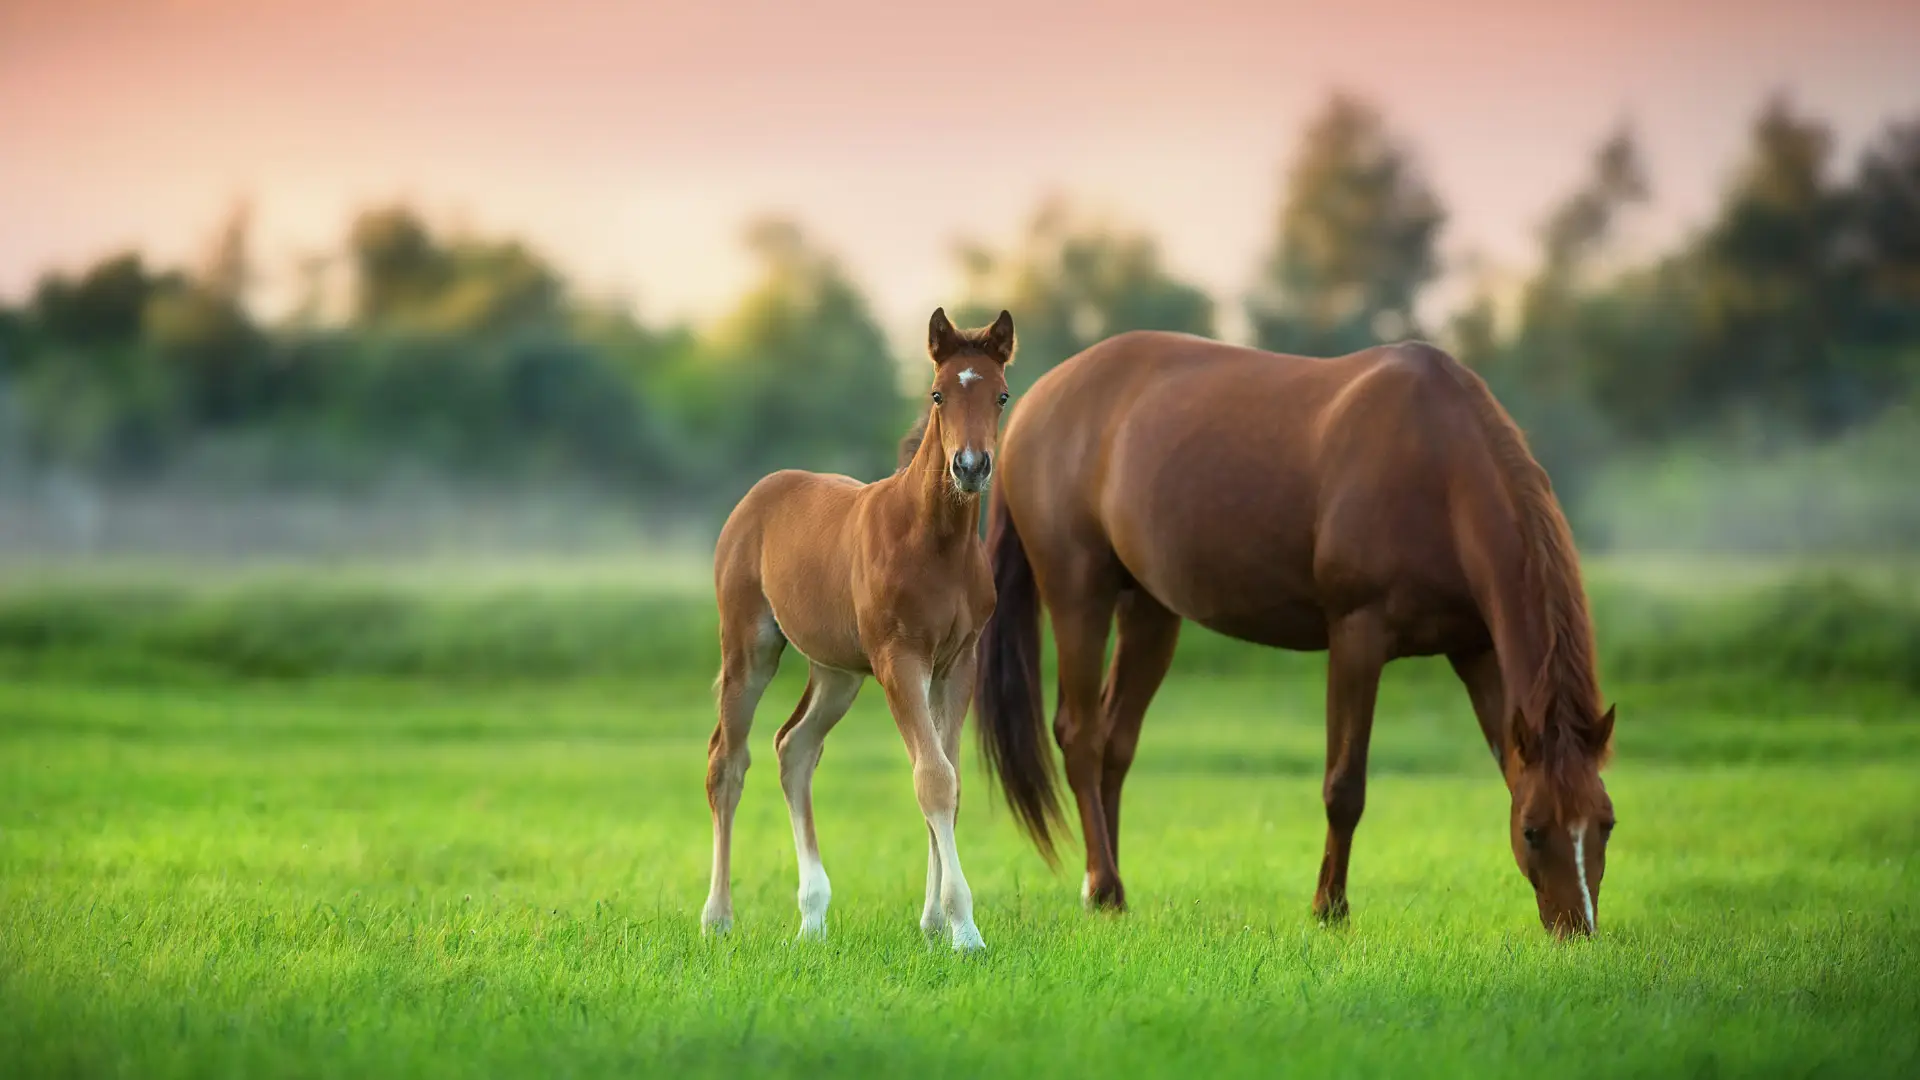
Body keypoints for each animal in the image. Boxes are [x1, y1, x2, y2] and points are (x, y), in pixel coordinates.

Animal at [701, 307, 1016, 951]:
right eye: (938, 393)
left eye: (1000, 394)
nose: (970, 468)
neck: (934, 543)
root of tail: (759, 493)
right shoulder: (900, 660)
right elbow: (932, 779)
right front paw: (965, 930)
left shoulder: (957, 663)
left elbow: (949, 780)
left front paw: (934, 923)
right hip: (750, 646)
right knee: (728, 761)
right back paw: (717, 917)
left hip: (836, 671)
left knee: (794, 748)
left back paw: (813, 915)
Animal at [973, 331, 1616, 937]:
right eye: (1533, 831)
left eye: (1606, 824)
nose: (1576, 929)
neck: (1439, 467)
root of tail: (1032, 402)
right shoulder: (1358, 635)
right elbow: (1345, 786)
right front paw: (1329, 908)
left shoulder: (1476, 650)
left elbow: (1506, 766)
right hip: (1078, 593)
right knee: (1081, 736)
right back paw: (1104, 884)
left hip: (1150, 610)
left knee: (1115, 740)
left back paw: (1106, 890)